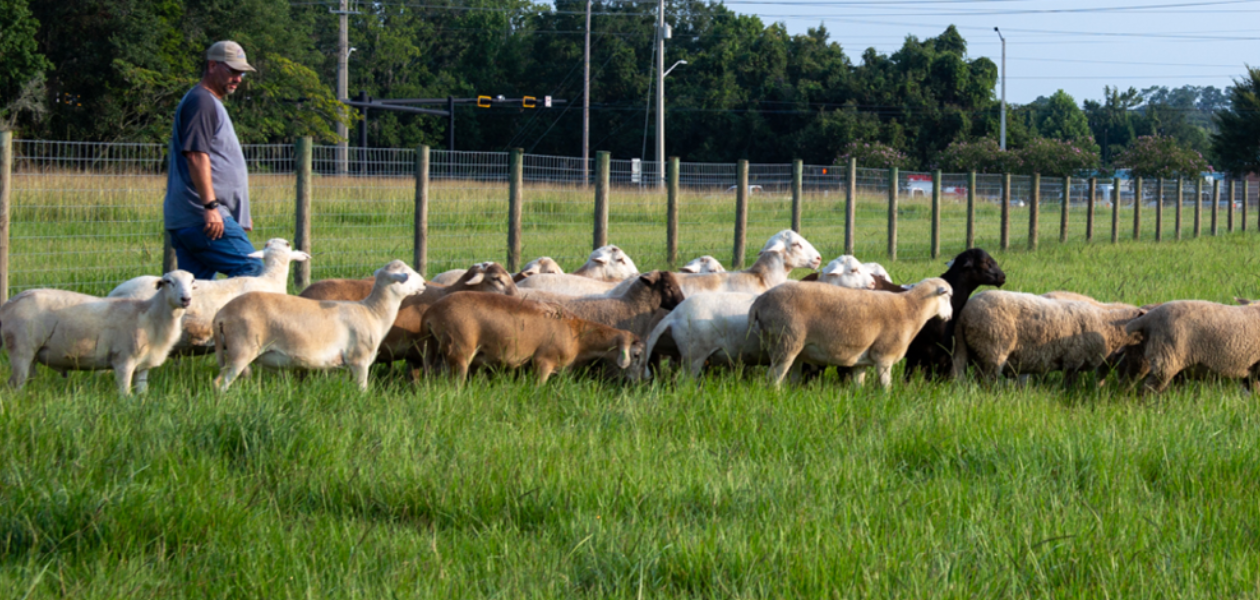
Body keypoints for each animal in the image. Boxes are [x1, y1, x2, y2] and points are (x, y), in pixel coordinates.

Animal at [3, 271, 196, 395]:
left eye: (192, 282)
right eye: (169, 281)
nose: (186, 299)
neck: (148, 315)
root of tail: (9, 303)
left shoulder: (143, 367)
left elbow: (142, 393)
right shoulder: (123, 360)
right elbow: (125, 395)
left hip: (32, 355)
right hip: (20, 348)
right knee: (14, 385)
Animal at [212, 260, 425, 391]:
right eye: (406, 274)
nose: (423, 283)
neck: (373, 313)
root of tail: (221, 314)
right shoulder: (359, 360)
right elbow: (362, 390)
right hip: (242, 348)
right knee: (219, 383)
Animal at [422, 292, 644, 384]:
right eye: (637, 355)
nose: (641, 381)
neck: (579, 336)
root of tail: (430, 312)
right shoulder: (543, 361)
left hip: (431, 349)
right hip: (459, 349)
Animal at [749, 278, 954, 389]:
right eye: (948, 296)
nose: (950, 316)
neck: (912, 309)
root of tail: (759, 302)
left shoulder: (860, 361)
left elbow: (858, 386)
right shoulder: (884, 356)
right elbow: (886, 387)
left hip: (792, 346)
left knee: (792, 376)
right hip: (785, 341)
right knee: (773, 378)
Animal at [951, 291, 1147, 387]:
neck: (1106, 323)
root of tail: (965, 312)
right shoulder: (1073, 360)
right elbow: (1069, 387)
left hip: (970, 349)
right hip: (993, 348)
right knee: (986, 380)